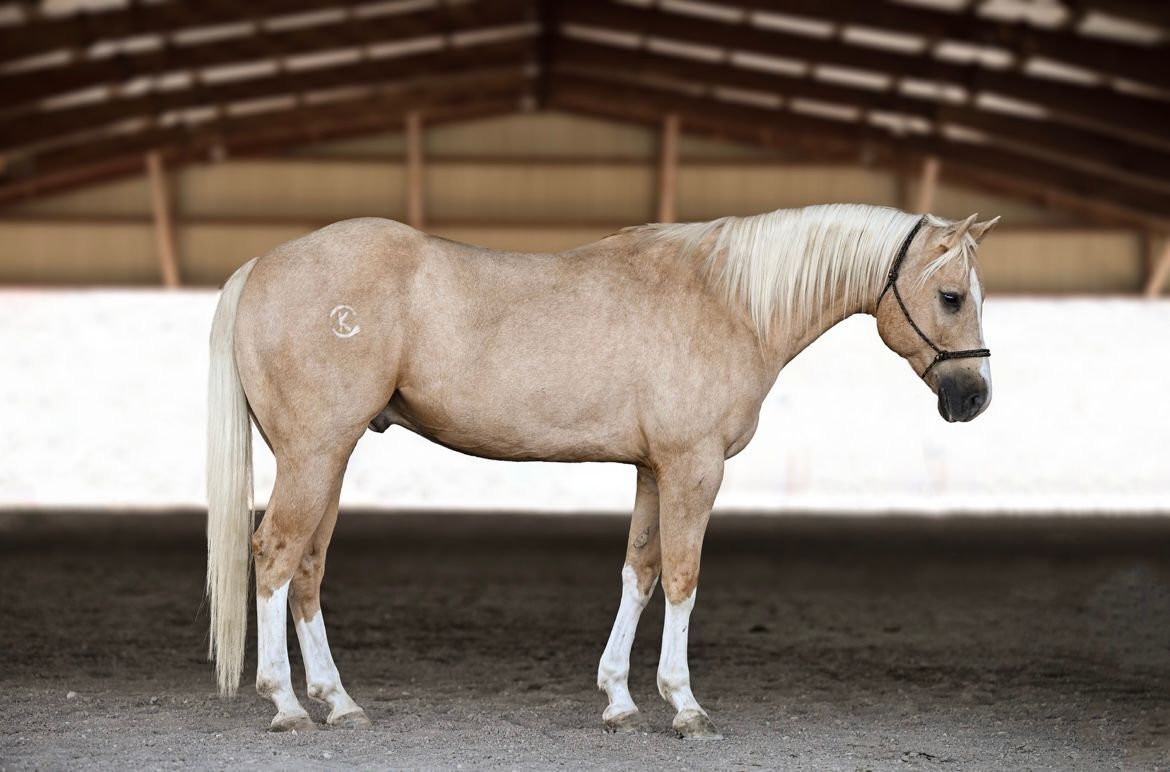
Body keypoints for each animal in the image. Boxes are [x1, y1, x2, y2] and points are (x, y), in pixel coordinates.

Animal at [205, 203, 998, 739]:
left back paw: (338, 703)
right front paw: (684, 704)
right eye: (951, 296)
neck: (729, 300)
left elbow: (639, 574)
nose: (973, 399)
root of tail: (261, 267)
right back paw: (286, 704)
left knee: (308, 567)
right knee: (275, 556)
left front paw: (619, 700)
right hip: (315, 454)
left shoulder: (653, 468)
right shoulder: (693, 467)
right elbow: (681, 577)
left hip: (330, 458)